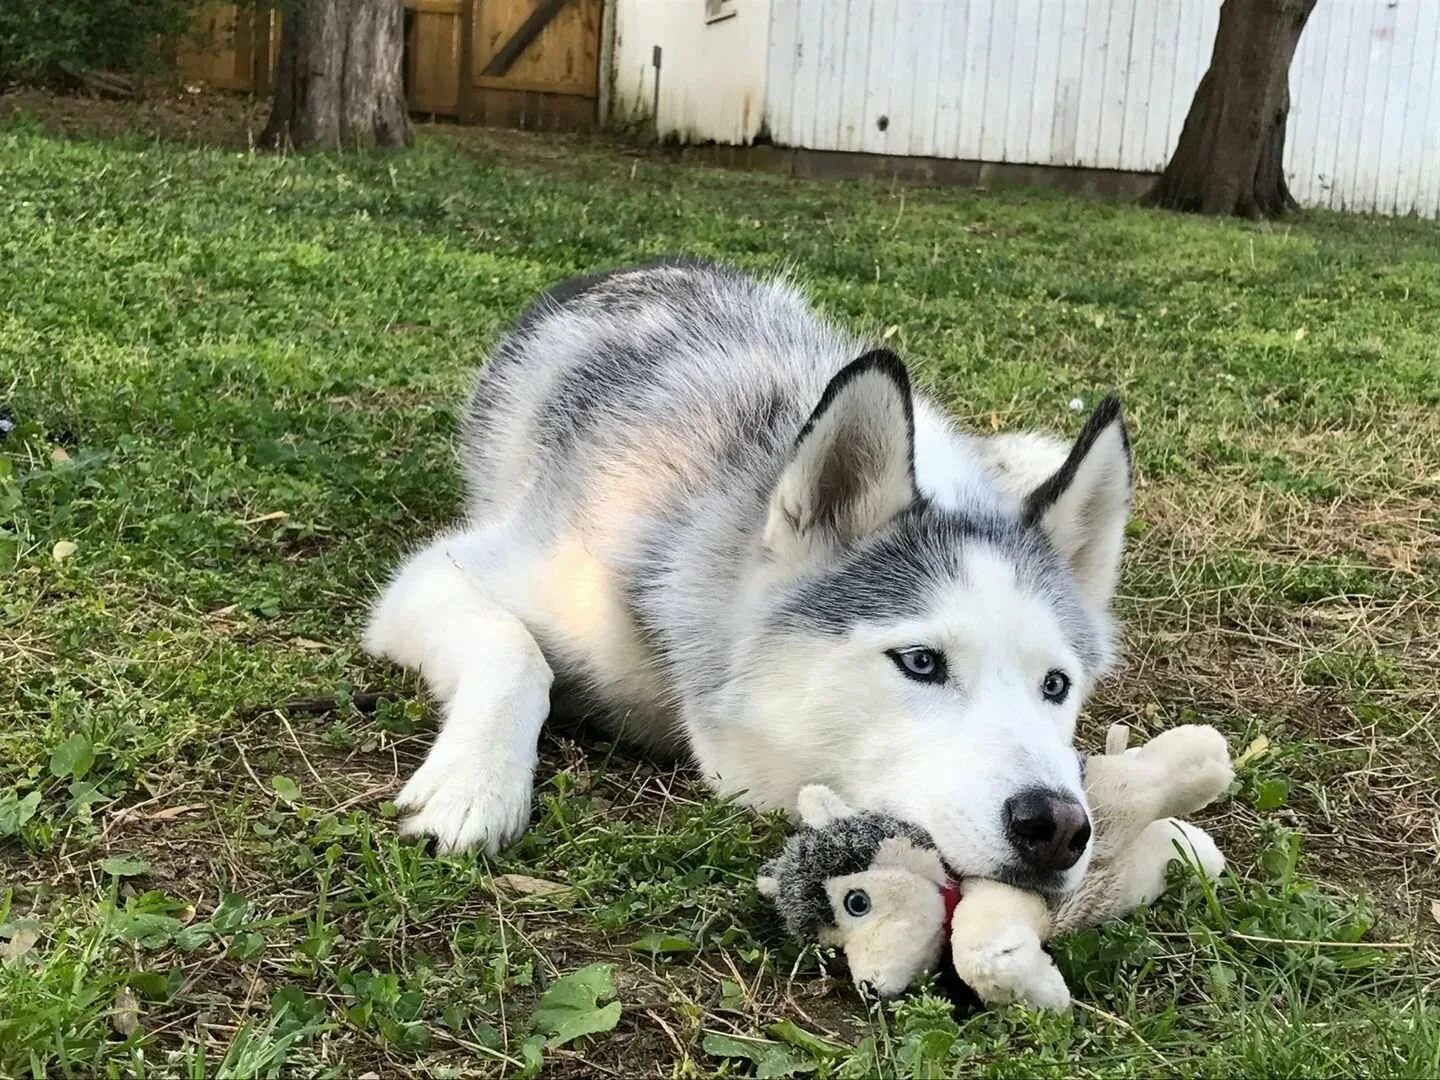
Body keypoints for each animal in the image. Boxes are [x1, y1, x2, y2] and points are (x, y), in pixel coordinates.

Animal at [365, 260, 1128, 898]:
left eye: (1055, 685)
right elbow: (515, 652)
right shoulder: (444, 574)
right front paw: (476, 782)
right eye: (921, 662)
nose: (1058, 826)